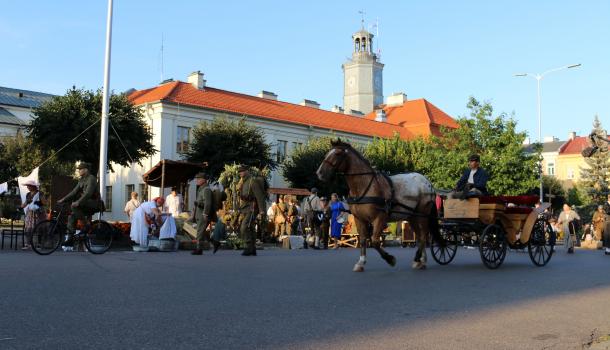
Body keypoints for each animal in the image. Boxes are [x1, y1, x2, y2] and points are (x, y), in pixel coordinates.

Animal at [314, 139, 436, 270]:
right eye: (327, 153)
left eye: (337, 154)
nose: (319, 173)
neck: (364, 186)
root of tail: (428, 183)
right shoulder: (359, 219)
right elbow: (363, 239)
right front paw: (361, 262)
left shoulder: (379, 218)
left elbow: (375, 241)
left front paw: (390, 259)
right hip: (412, 217)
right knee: (420, 237)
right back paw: (421, 260)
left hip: (422, 215)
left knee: (423, 236)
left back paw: (418, 258)